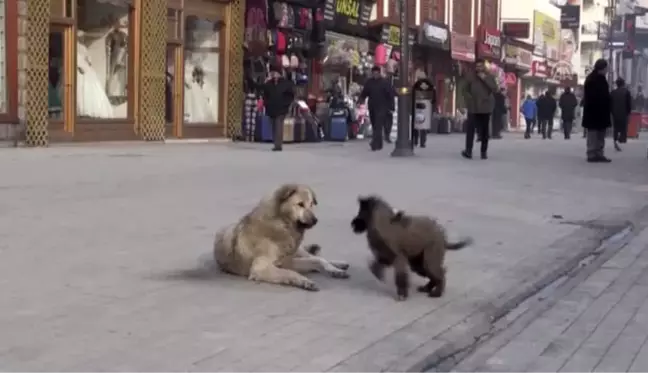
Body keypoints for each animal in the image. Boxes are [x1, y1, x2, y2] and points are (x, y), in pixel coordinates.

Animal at [213, 183, 350, 290]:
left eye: (311, 204)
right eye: (300, 204)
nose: (315, 220)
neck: (281, 224)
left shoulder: (286, 261)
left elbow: (315, 260)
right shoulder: (262, 268)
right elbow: (290, 272)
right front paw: (304, 281)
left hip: (298, 251)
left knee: (317, 257)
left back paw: (337, 267)